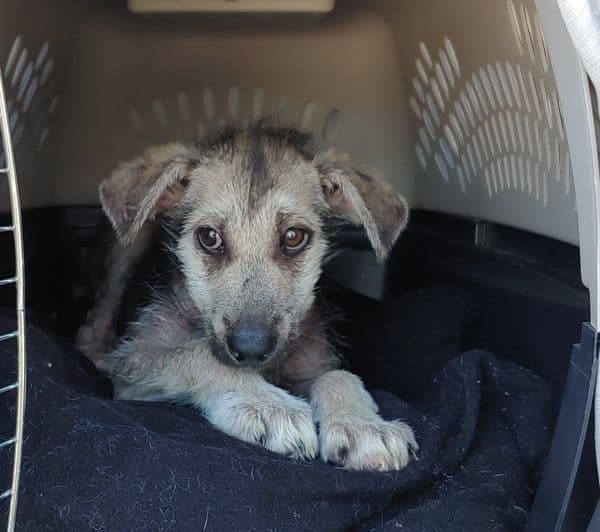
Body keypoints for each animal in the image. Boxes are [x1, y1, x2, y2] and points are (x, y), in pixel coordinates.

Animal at [77, 123, 418, 470]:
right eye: (209, 238)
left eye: (293, 237)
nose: (251, 349)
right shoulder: (134, 362)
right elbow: (199, 353)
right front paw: (269, 406)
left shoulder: (313, 363)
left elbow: (339, 375)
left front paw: (363, 425)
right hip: (126, 249)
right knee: (93, 327)